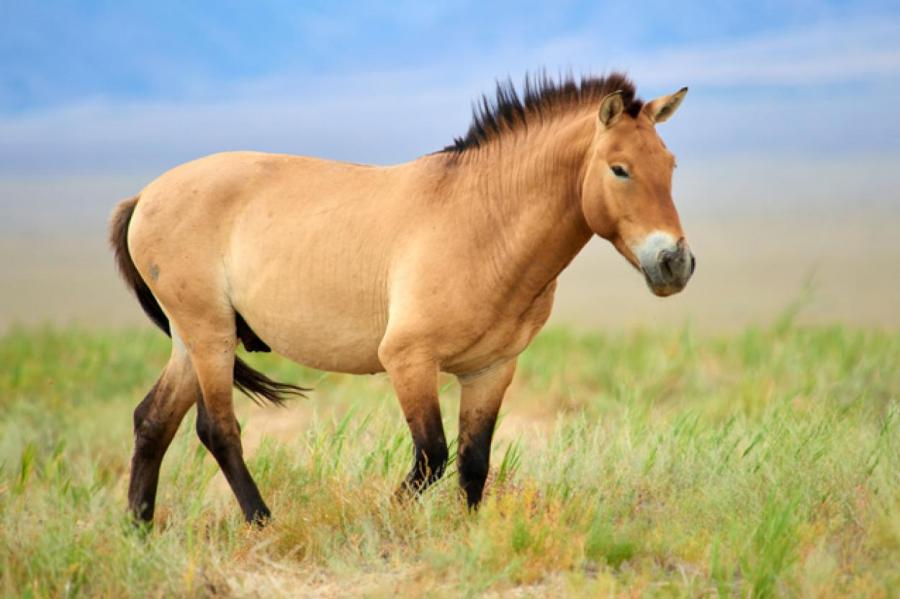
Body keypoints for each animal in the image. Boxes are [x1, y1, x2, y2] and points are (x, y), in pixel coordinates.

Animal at [107, 71, 696, 524]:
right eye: (619, 169)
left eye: (670, 165)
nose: (675, 263)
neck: (482, 222)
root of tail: (145, 195)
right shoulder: (409, 361)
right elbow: (432, 457)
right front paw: (381, 521)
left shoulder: (490, 370)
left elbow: (473, 462)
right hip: (210, 335)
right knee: (217, 428)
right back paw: (261, 523)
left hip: (193, 339)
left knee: (152, 421)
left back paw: (140, 528)